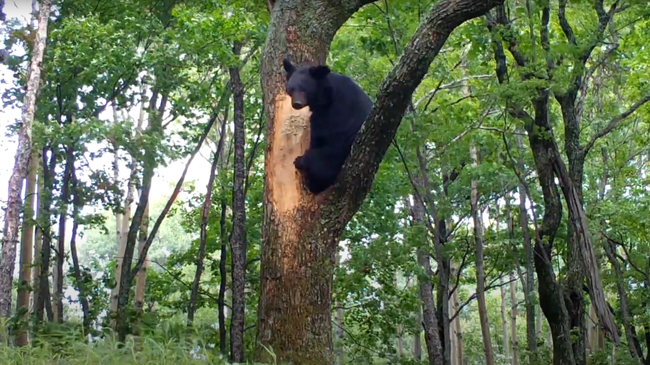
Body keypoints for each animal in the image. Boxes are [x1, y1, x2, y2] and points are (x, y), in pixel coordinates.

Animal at [280, 56, 372, 193]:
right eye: (291, 89)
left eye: (304, 89)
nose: (296, 103)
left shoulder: (332, 112)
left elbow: (320, 133)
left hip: (335, 154)